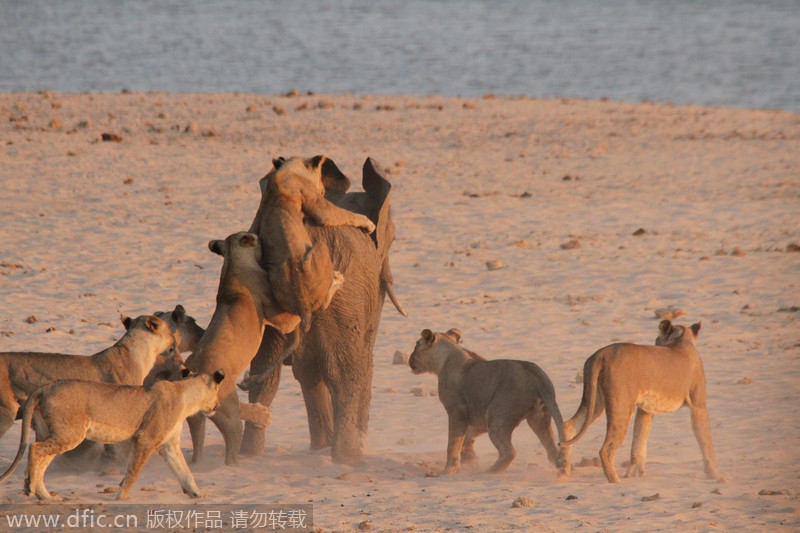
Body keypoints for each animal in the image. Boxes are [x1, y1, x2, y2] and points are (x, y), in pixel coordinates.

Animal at [239, 156, 406, 464]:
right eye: (394, 238)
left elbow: (307, 370)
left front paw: (320, 448)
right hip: (342, 300)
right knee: (348, 373)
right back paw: (349, 457)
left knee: (265, 376)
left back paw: (250, 455)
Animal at [410, 328, 564, 474]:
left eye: (416, 345)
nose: (410, 360)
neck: (445, 357)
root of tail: (536, 376)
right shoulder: (479, 416)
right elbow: (467, 439)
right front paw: (470, 461)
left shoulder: (457, 410)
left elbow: (453, 444)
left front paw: (449, 470)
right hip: (538, 418)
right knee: (552, 451)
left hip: (498, 417)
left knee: (509, 452)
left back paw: (487, 472)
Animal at [556, 318, 724, 484]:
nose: (655, 342)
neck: (681, 340)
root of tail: (601, 353)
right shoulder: (698, 405)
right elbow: (706, 441)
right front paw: (715, 473)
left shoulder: (645, 410)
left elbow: (639, 440)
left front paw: (635, 473)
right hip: (621, 405)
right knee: (605, 449)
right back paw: (615, 481)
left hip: (594, 399)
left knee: (569, 426)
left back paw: (563, 473)